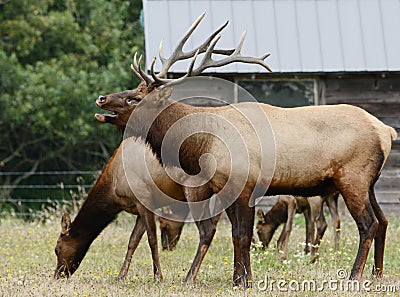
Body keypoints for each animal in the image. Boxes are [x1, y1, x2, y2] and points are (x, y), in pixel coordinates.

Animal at [94, 12, 396, 286]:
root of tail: (386, 132)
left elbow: (243, 234)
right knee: (383, 221)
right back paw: (377, 274)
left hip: (352, 178)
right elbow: (235, 234)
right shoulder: (224, 188)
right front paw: (238, 279)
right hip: (368, 183)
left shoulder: (245, 184)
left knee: (368, 223)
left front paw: (245, 280)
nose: (102, 98)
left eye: (134, 98)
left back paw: (356, 276)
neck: (201, 144)